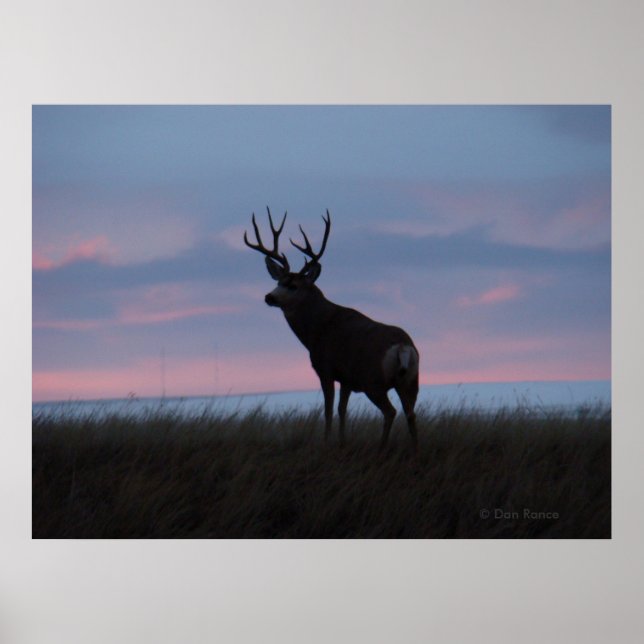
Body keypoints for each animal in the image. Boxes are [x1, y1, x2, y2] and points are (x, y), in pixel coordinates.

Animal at [244, 208, 420, 451]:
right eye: (278, 281)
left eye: (293, 285)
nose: (269, 297)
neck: (317, 330)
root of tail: (403, 347)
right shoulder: (346, 378)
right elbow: (342, 410)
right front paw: (342, 441)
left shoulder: (325, 368)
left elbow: (327, 410)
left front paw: (326, 441)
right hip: (411, 380)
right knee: (411, 414)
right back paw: (416, 448)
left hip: (373, 381)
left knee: (390, 412)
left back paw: (382, 447)